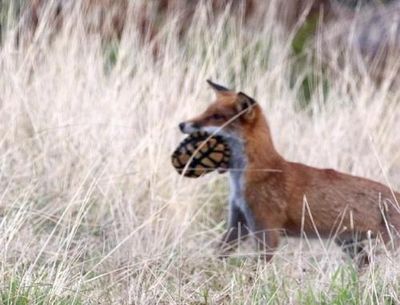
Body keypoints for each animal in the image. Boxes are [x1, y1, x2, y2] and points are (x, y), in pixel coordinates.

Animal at [180, 79, 400, 264]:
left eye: (217, 117)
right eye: (206, 111)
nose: (182, 124)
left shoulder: (267, 230)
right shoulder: (239, 223)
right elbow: (219, 253)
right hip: (349, 244)